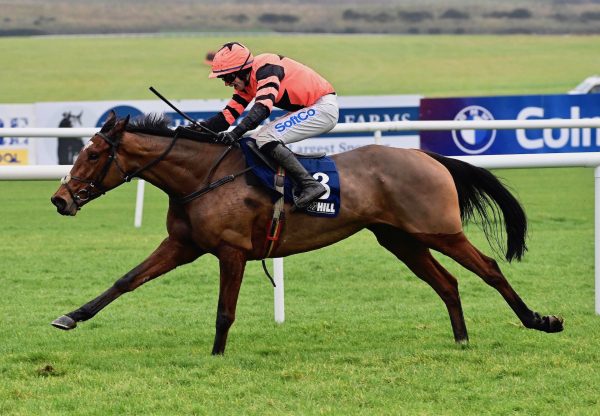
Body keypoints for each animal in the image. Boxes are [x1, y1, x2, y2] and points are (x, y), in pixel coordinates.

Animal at [48, 111, 564, 354]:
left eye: (93, 154)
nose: (60, 199)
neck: (202, 176)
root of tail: (427, 156)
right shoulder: (183, 245)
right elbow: (125, 280)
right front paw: (70, 316)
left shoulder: (231, 251)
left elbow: (224, 311)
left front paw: (216, 355)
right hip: (400, 239)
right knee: (448, 283)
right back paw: (460, 339)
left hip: (440, 231)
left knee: (489, 269)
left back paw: (539, 320)